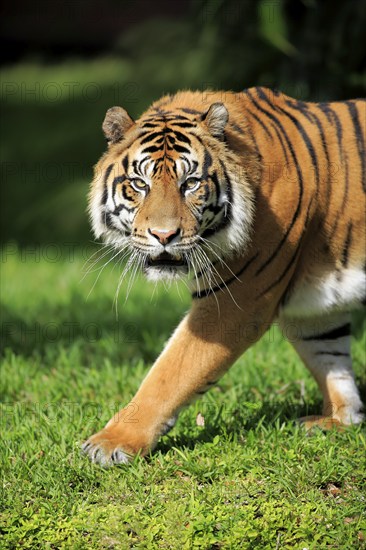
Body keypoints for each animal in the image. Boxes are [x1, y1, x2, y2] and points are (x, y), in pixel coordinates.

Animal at [83, 88, 366, 468]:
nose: (164, 235)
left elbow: (170, 372)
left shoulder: (236, 301)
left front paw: (112, 442)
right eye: (140, 184)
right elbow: (330, 357)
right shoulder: (316, 305)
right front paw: (341, 419)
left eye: (190, 184)